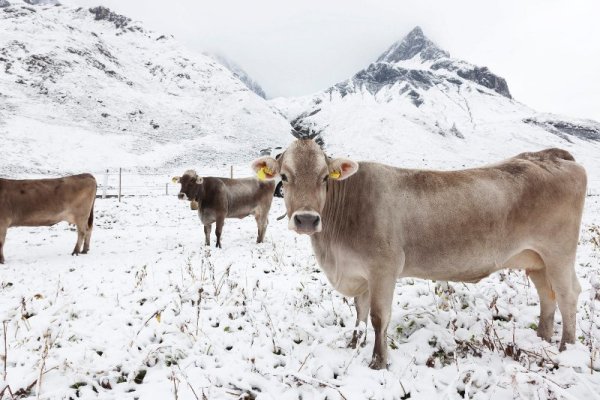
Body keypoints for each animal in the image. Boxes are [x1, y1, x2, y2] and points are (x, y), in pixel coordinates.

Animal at [251, 140, 588, 368]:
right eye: (284, 177)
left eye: (324, 177)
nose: (307, 220)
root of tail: (548, 155)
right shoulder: (360, 272)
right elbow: (359, 313)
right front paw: (353, 344)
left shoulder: (384, 269)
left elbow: (378, 317)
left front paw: (378, 362)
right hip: (536, 260)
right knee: (547, 295)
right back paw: (543, 338)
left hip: (558, 253)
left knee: (568, 294)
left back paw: (566, 348)